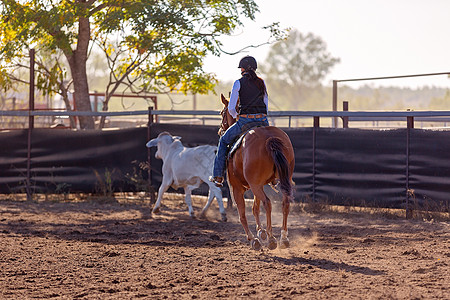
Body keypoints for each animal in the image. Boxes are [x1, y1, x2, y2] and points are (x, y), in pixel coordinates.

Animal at [219, 94, 296, 251]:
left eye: (222, 113)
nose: (220, 131)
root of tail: (269, 138)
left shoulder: (236, 188)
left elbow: (242, 213)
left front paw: (254, 239)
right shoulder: (257, 185)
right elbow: (255, 207)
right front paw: (261, 232)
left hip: (254, 185)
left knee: (268, 203)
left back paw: (272, 239)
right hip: (280, 179)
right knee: (285, 202)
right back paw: (283, 238)